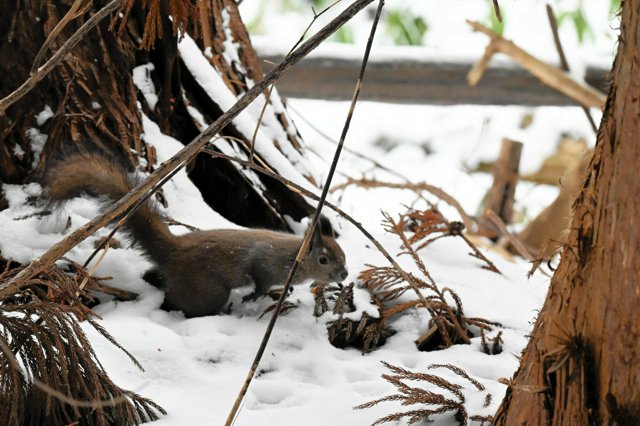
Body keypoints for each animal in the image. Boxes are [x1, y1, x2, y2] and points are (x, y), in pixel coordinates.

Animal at [44, 153, 348, 316]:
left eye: (343, 255)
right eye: (323, 259)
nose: (344, 275)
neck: (295, 255)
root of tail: (173, 249)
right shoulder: (265, 261)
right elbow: (259, 279)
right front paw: (255, 296)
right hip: (207, 290)